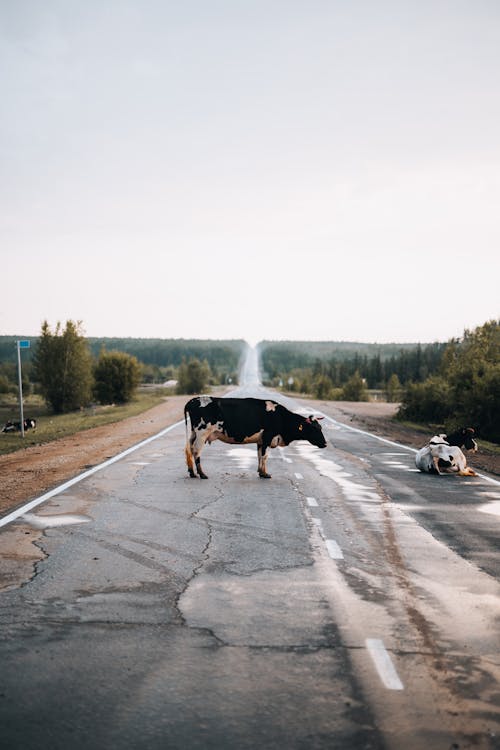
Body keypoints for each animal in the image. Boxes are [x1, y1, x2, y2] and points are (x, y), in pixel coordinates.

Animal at [182, 396, 326, 478]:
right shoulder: (268, 437)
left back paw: (192, 472)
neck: (280, 417)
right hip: (202, 433)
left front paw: (261, 471)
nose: (325, 444)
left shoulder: (261, 440)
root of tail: (193, 400)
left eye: (320, 427)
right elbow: (265, 456)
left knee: (188, 448)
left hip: (194, 434)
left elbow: (259, 455)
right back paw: (202, 474)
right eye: (314, 428)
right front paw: (265, 474)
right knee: (196, 451)